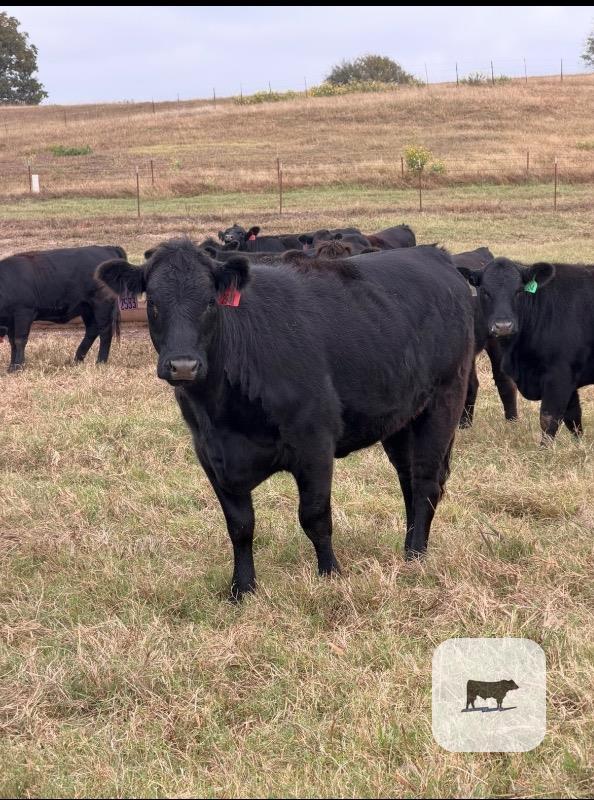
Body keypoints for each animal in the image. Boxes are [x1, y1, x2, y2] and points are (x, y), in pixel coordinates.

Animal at [97, 239, 474, 601]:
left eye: (209, 302)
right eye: (153, 303)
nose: (183, 366)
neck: (221, 412)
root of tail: (435, 255)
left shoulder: (314, 442)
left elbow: (315, 516)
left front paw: (331, 576)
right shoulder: (209, 453)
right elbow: (240, 526)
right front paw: (242, 589)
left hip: (444, 401)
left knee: (425, 481)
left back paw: (416, 555)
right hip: (398, 419)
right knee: (407, 480)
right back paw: (408, 549)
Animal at [458, 257, 594, 443]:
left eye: (519, 291)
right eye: (485, 291)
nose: (503, 326)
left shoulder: (559, 375)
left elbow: (548, 418)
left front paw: (545, 448)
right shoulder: (569, 378)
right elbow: (573, 418)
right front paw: (578, 444)